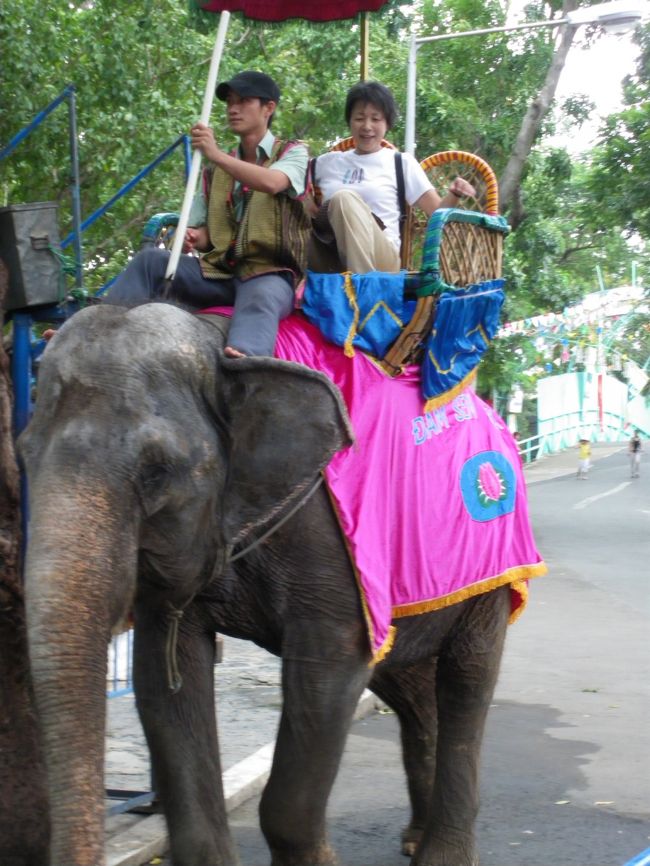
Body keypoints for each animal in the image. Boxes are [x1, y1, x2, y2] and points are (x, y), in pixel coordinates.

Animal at [20, 298, 512, 864]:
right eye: (24, 453)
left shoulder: (332, 541)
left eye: (157, 471)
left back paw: (439, 852)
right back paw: (413, 838)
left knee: (467, 684)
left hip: (491, 572)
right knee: (407, 683)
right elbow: (163, 680)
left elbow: (328, 673)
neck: (218, 345)